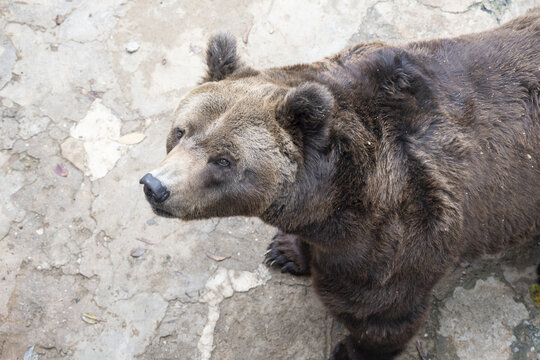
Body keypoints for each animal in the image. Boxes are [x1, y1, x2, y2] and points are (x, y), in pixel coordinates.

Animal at [140, 9, 540, 360]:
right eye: (180, 131)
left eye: (223, 160)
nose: (154, 186)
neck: (333, 197)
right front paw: (285, 251)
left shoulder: (403, 225)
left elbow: (380, 311)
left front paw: (351, 349)